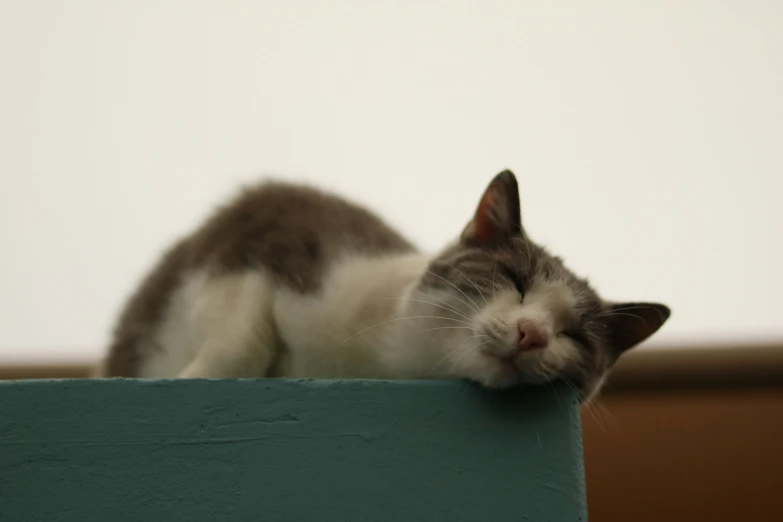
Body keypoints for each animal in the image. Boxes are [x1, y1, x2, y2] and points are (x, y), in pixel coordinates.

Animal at [101, 171, 672, 398]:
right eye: (516, 280)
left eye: (575, 336)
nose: (532, 333)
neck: (381, 361)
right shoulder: (260, 226)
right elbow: (241, 342)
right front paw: (184, 379)